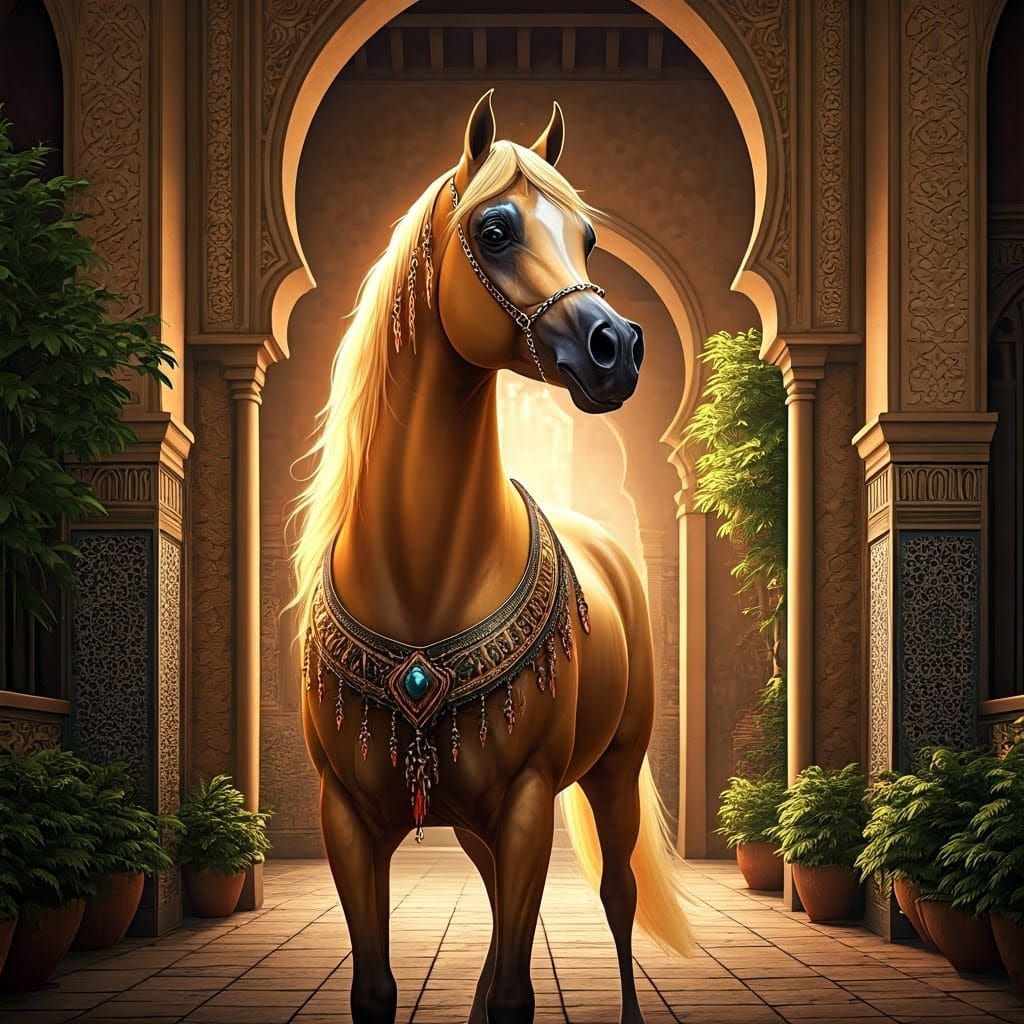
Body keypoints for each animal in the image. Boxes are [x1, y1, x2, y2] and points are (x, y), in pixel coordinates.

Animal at [290, 91, 693, 1024]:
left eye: (587, 238)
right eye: (497, 229)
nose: (620, 346)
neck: (422, 574)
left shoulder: (528, 801)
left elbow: (516, 989)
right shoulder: (346, 816)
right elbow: (376, 989)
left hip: (613, 772)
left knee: (618, 895)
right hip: (476, 818)